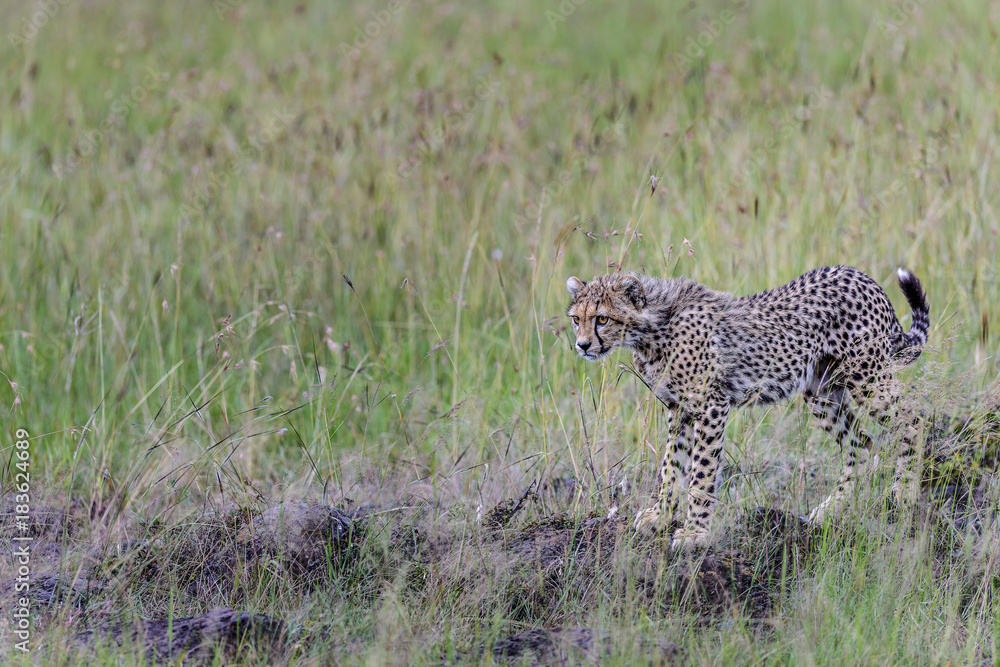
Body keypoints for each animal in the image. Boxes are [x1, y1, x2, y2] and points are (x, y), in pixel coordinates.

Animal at [565, 265, 929, 550]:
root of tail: (862, 277)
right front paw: (659, 516)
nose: (581, 346)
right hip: (822, 391)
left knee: (915, 415)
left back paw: (905, 490)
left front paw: (695, 533)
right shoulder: (678, 409)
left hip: (867, 378)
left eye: (602, 319)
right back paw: (832, 509)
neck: (653, 328)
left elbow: (701, 472)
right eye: (576, 320)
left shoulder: (711, 405)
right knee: (861, 443)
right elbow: (670, 465)